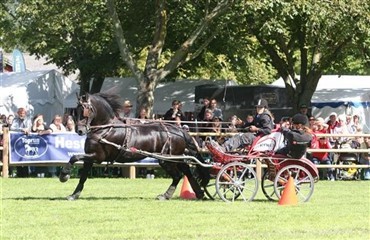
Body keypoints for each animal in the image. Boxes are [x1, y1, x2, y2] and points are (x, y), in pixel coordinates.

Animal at [61, 92, 211, 201]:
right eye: (76, 110)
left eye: (85, 110)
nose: (79, 130)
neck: (105, 128)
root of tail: (180, 131)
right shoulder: (89, 158)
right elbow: (83, 176)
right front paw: (74, 195)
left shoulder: (97, 157)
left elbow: (74, 157)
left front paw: (64, 175)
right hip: (176, 157)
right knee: (187, 172)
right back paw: (199, 193)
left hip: (166, 160)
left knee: (177, 175)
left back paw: (165, 195)